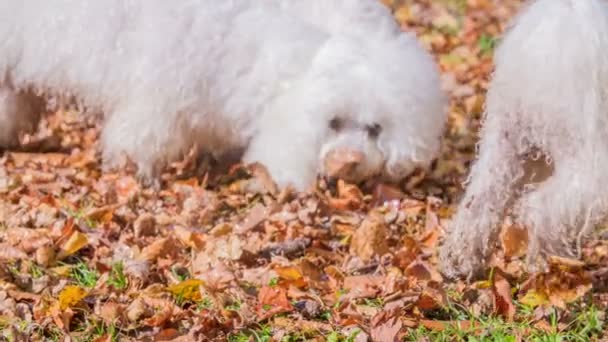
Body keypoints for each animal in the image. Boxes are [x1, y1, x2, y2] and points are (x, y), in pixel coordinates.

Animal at [0, 0, 446, 190]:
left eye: (375, 129)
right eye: (332, 122)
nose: (348, 162)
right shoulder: (158, 92)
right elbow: (140, 137)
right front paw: (138, 173)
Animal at [440, 0, 608, 280]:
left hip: (507, 142)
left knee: (480, 203)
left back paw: (461, 261)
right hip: (587, 159)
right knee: (542, 207)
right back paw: (552, 268)